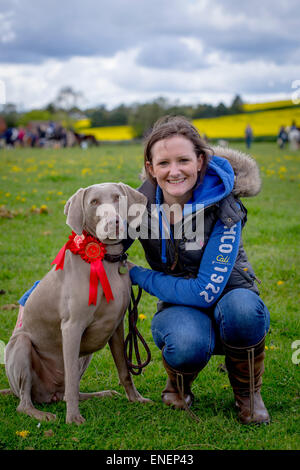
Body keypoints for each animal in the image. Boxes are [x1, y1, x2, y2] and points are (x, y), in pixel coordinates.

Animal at [0, 184, 150, 426]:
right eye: (94, 202)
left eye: (117, 197)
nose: (114, 222)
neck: (106, 261)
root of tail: (48, 393)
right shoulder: (72, 327)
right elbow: (71, 379)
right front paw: (73, 418)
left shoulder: (116, 326)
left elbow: (124, 369)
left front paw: (135, 398)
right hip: (21, 346)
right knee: (26, 402)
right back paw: (41, 413)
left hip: (85, 354)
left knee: (70, 390)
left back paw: (101, 394)